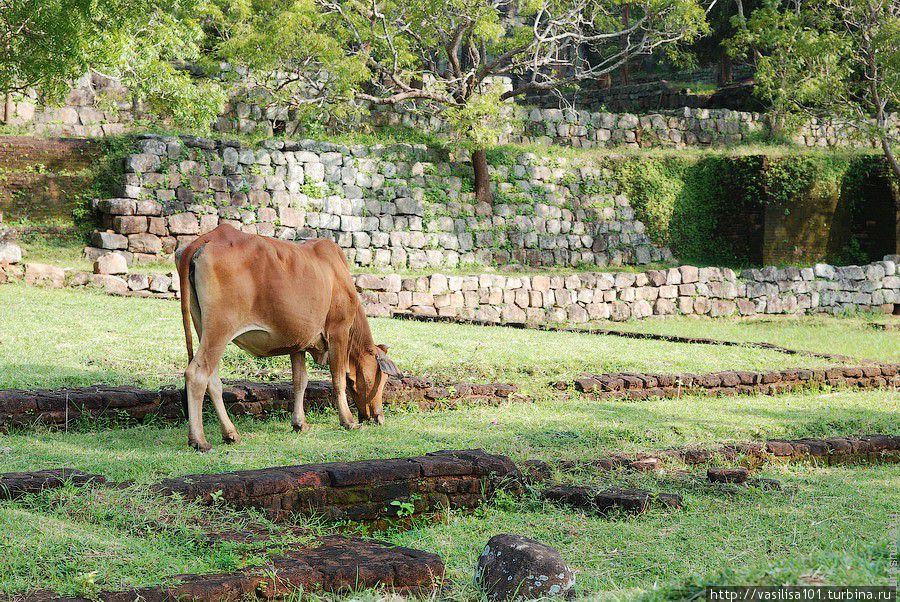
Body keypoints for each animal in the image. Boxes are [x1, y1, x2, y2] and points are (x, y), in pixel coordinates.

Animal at [176, 223, 400, 448]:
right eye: (382, 379)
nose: (378, 416)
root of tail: (210, 237)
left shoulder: (298, 342)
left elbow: (300, 381)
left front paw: (300, 423)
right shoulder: (339, 331)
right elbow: (338, 379)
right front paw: (348, 421)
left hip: (203, 327)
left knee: (213, 380)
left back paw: (230, 433)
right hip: (220, 329)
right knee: (197, 374)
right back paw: (199, 440)